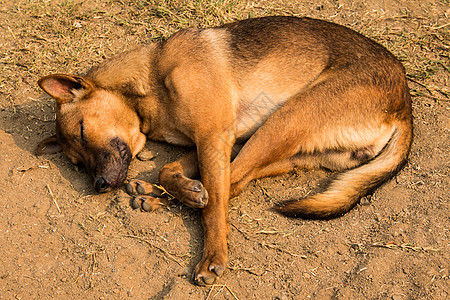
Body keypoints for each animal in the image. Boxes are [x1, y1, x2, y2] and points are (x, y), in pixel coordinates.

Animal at [37, 17, 414, 286]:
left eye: (83, 131)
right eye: (76, 163)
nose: (99, 185)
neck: (152, 79)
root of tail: (405, 105)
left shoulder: (213, 136)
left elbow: (213, 202)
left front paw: (213, 257)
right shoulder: (215, 139)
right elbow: (172, 170)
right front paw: (180, 189)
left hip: (285, 119)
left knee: (230, 185)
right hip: (274, 140)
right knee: (238, 179)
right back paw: (161, 194)